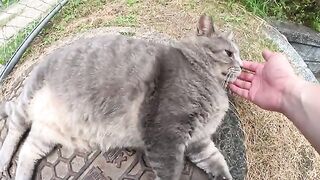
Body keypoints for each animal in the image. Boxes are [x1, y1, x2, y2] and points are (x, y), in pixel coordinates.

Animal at [0, 14, 240, 179]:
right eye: (229, 53)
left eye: (238, 54)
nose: (241, 65)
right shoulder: (166, 135)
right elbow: (170, 172)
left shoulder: (198, 141)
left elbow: (217, 161)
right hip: (28, 99)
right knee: (15, 128)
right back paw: (3, 161)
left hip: (46, 134)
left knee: (28, 151)